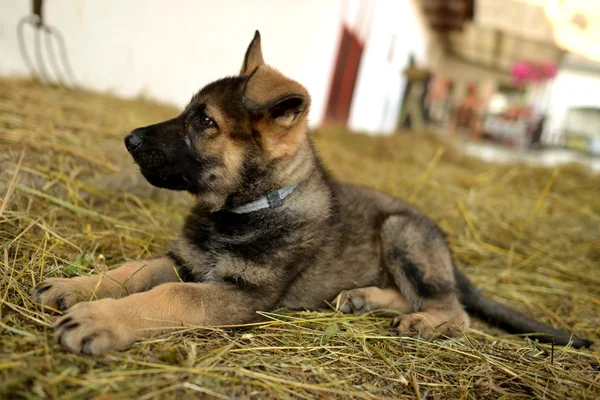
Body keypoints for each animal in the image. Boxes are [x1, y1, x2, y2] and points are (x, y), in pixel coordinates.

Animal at [31, 32, 592, 354]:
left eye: (204, 122)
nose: (129, 140)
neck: (242, 209)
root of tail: (451, 259)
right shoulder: (185, 261)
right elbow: (132, 272)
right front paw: (77, 287)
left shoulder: (240, 295)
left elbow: (165, 296)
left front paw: (99, 319)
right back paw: (362, 298)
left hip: (401, 231)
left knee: (455, 312)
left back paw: (423, 323)